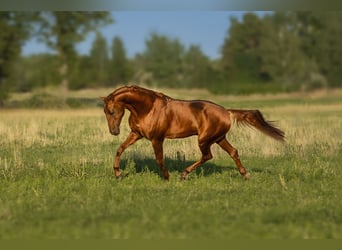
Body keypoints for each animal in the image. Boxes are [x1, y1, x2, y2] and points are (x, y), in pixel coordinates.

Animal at [101, 86, 286, 180]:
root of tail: (227, 112)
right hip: (219, 138)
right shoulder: (136, 134)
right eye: (105, 112)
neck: (147, 108)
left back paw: (183, 174)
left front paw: (167, 177)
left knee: (207, 156)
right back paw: (245, 175)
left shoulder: (157, 139)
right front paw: (118, 174)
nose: (114, 131)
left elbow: (159, 158)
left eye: (111, 111)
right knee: (233, 152)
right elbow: (119, 149)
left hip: (204, 139)